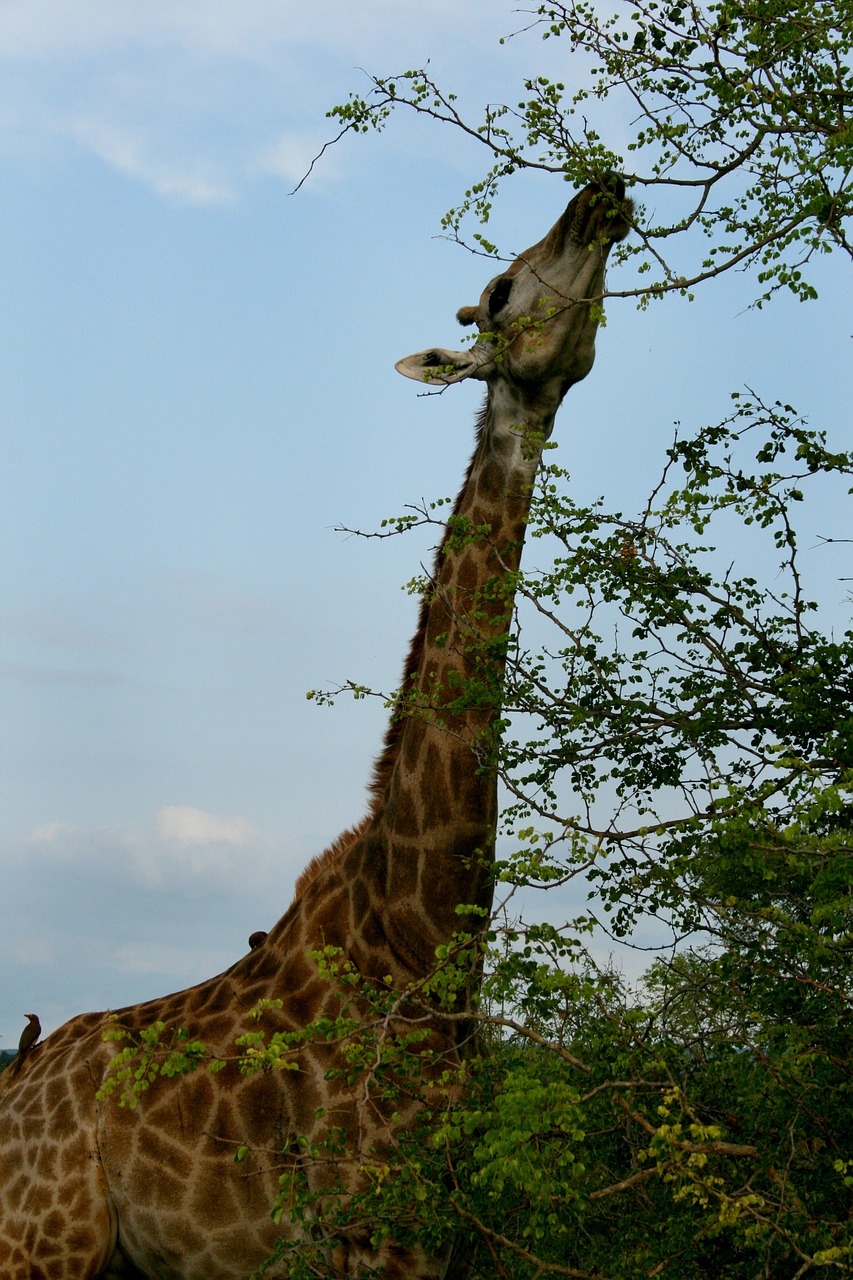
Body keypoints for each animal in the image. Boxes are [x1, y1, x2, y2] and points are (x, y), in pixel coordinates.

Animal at [0, 175, 625, 1274]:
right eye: (499, 293)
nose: (600, 195)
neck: (419, 942)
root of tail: (11, 1093)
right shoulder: (368, 1234)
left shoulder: (440, 1234)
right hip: (43, 1243)